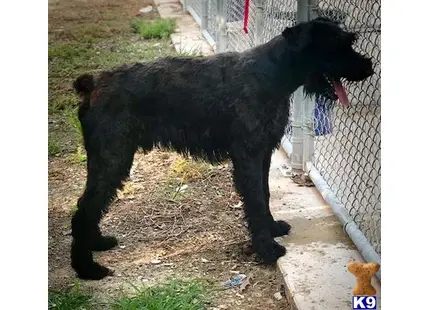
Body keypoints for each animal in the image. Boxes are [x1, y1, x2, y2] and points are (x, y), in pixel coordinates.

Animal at [70, 17, 372, 280]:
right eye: (337, 45)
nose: (368, 67)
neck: (272, 74)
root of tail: (93, 85)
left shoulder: (262, 154)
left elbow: (265, 194)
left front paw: (273, 228)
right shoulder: (249, 157)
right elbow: (256, 202)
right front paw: (267, 249)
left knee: (88, 205)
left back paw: (96, 242)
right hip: (113, 159)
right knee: (84, 207)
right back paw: (87, 268)